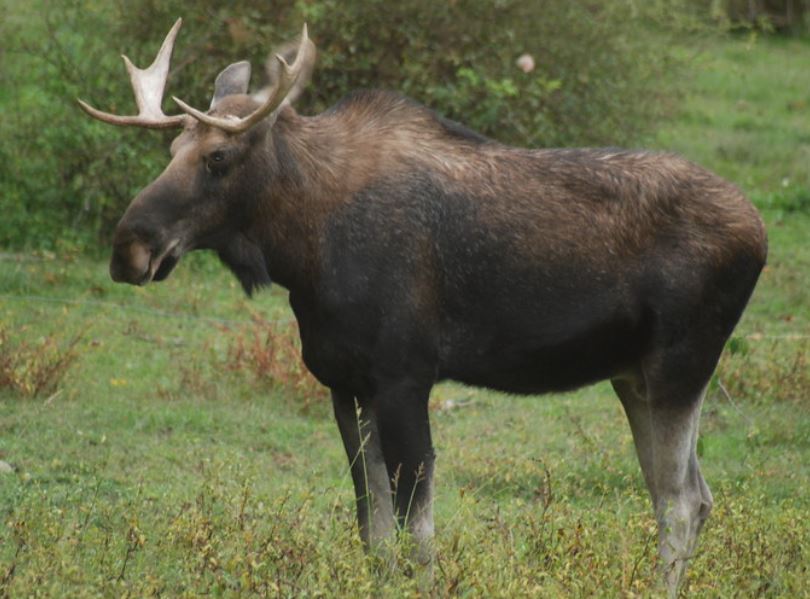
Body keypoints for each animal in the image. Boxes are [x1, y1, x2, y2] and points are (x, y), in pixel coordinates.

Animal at [78, 19, 767, 595]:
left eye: (218, 156)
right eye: (171, 154)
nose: (128, 248)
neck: (302, 249)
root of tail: (759, 233)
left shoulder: (404, 376)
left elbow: (418, 529)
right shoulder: (344, 383)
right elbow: (373, 526)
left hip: (680, 366)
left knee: (680, 500)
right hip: (634, 377)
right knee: (690, 494)